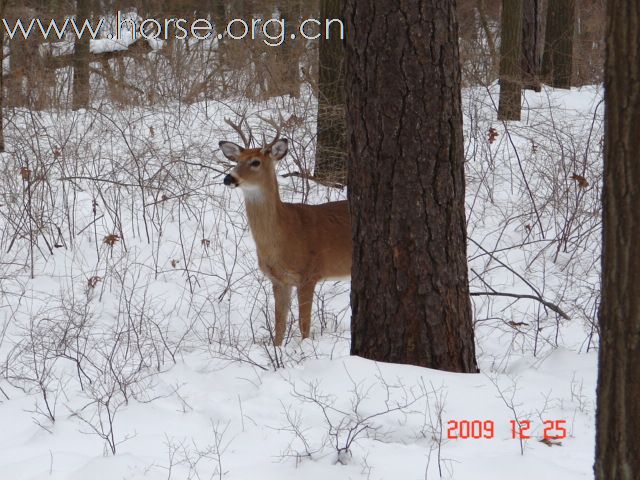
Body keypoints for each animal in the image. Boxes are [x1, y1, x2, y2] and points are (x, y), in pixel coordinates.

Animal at [219, 118, 350, 346]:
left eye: (255, 162)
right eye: (235, 160)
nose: (229, 178)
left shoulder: (309, 273)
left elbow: (304, 324)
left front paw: (304, 347)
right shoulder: (278, 280)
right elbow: (279, 323)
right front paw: (277, 348)